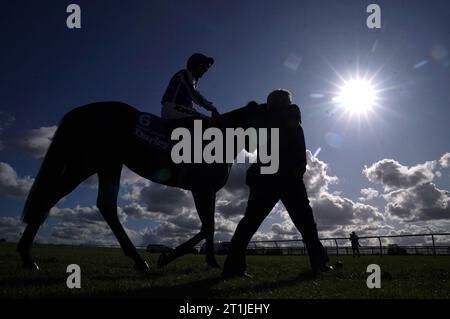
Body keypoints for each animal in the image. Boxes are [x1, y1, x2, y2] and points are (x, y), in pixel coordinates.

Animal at [17, 102, 262, 276]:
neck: (221, 138)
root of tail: (82, 111)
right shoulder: (200, 189)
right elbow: (207, 226)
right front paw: (167, 257)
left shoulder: (209, 191)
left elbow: (209, 226)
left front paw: (211, 261)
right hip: (87, 164)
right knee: (52, 195)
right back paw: (27, 256)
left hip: (108, 164)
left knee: (105, 206)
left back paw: (137, 260)